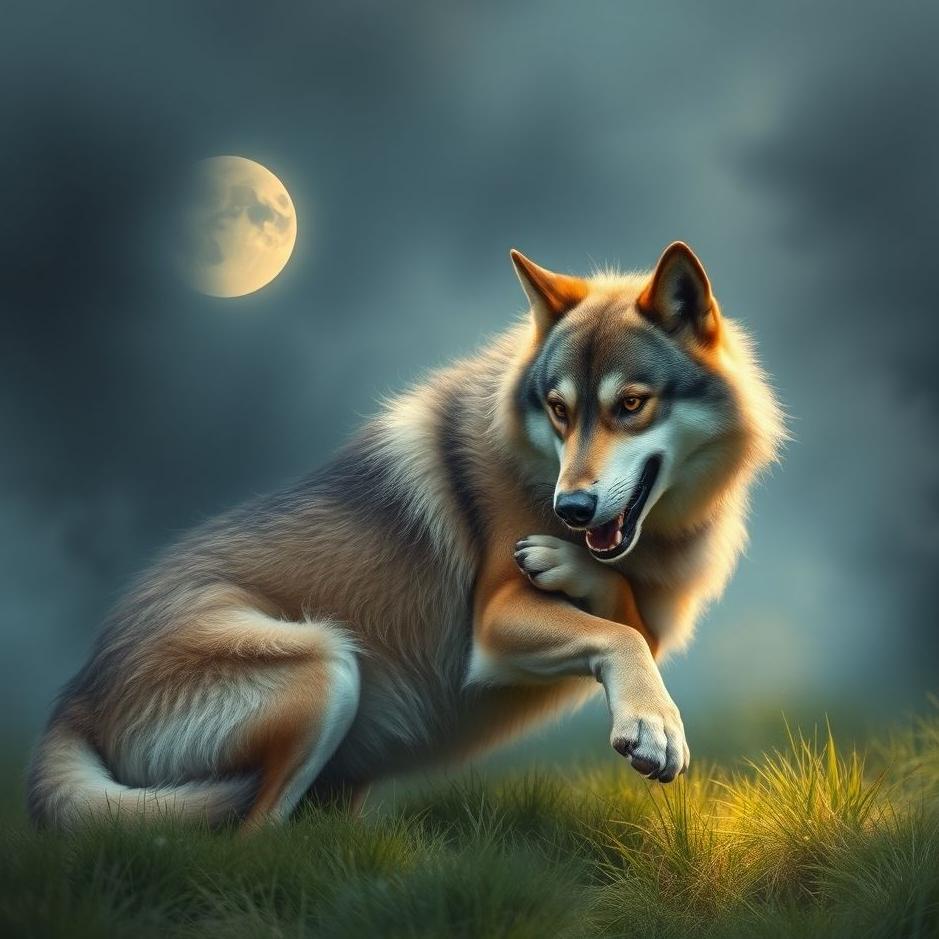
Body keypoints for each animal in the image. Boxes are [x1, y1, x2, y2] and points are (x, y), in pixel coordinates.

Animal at [28, 242, 784, 829]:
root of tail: (72, 700)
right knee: (246, 837)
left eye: (630, 404)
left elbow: (632, 620)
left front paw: (571, 566)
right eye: (559, 409)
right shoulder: (493, 624)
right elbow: (622, 635)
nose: (571, 507)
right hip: (327, 664)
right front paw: (653, 726)